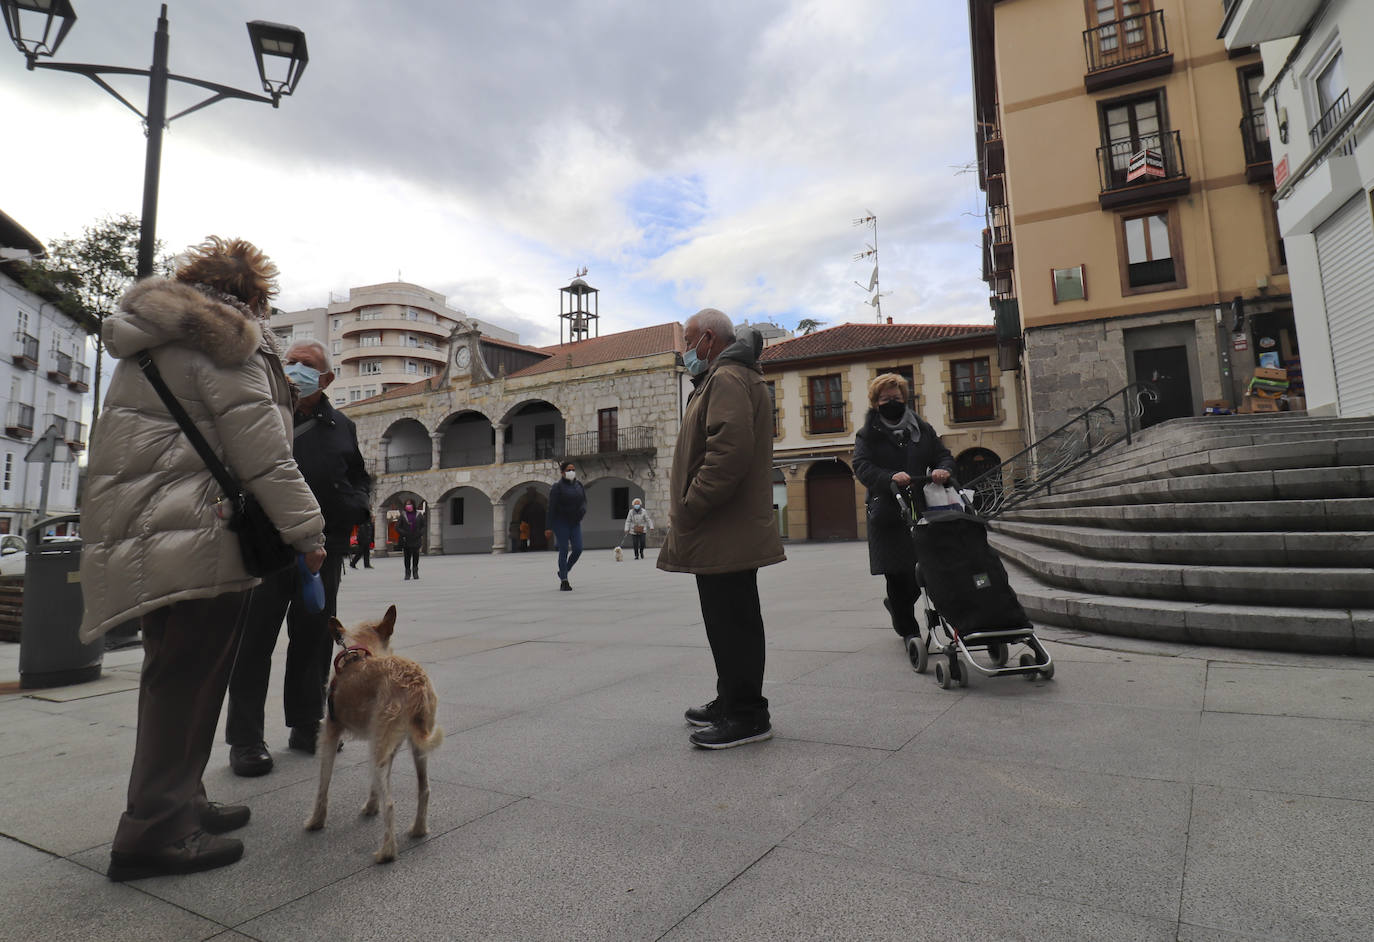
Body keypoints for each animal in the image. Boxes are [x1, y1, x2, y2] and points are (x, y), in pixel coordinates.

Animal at [306, 604, 445, 862]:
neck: (356, 655)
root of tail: (417, 686)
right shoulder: (383, 742)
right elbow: (374, 780)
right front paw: (371, 805)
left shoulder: (330, 733)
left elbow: (323, 783)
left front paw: (316, 820)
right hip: (413, 744)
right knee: (424, 788)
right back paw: (419, 829)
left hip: (384, 740)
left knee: (390, 803)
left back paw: (386, 852)